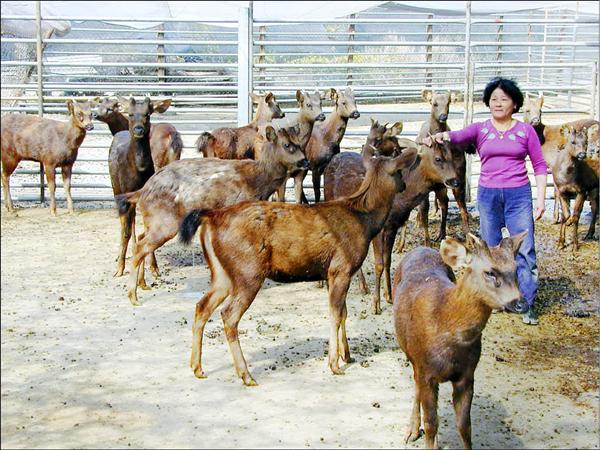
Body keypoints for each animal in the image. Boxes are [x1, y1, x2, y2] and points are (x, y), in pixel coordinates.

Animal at [108, 96, 171, 278]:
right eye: (130, 114)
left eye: (147, 114)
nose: (139, 129)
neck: (139, 171)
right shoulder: (125, 194)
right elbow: (126, 231)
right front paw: (120, 269)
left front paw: (154, 267)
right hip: (116, 189)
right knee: (124, 224)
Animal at [178, 147, 420, 384]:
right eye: (399, 171)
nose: (405, 185)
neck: (365, 222)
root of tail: (211, 217)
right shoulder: (341, 267)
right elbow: (335, 314)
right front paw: (334, 364)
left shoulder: (333, 272)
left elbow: (343, 313)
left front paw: (347, 355)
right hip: (248, 271)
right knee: (228, 315)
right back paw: (246, 374)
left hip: (222, 274)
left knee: (201, 306)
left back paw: (197, 367)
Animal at [394, 232, 528, 450]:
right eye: (490, 272)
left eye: (515, 270)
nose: (520, 303)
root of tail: (421, 248)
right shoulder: (425, 370)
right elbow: (431, 424)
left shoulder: (467, 375)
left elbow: (465, 426)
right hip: (410, 354)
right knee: (416, 388)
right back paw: (411, 431)